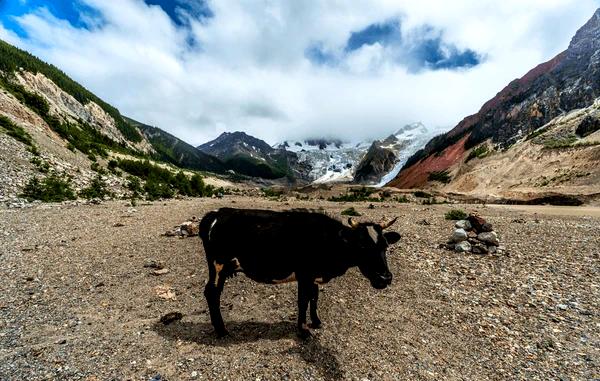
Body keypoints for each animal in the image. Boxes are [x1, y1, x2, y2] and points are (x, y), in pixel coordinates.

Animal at [199, 206, 400, 336]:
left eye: (385, 246)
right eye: (362, 246)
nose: (385, 277)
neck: (329, 240)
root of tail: (217, 213)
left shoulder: (314, 276)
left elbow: (314, 298)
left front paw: (316, 322)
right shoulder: (304, 274)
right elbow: (303, 300)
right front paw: (303, 330)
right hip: (218, 264)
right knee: (212, 292)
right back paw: (221, 330)